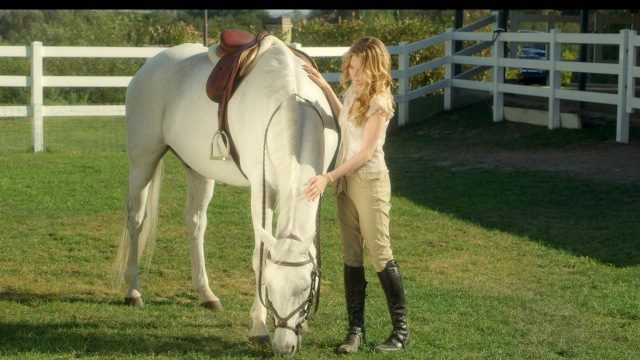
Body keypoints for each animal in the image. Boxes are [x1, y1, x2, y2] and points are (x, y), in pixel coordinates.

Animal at [113, 35, 340, 356]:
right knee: (136, 220)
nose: (283, 347)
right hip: (143, 160)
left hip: (198, 169)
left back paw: (206, 294)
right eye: (270, 288)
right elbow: (259, 255)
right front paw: (258, 328)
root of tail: (149, 65)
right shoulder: (261, 191)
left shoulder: (316, 188)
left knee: (195, 224)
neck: (288, 101)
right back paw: (133, 290)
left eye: (305, 290)